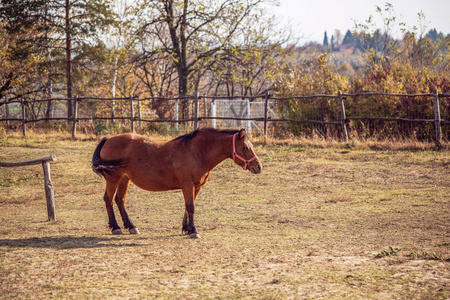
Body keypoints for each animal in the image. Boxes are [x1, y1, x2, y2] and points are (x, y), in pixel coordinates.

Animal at [91, 127, 262, 239]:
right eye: (245, 147)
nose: (258, 167)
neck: (196, 151)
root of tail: (108, 139)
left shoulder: (196, 186)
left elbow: (188, 206)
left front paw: (186, 228)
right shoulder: (187, 184)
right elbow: (191, 207)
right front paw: (194, 231)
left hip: (124, 179)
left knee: (120, 200)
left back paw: (131, 226)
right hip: (113, 178)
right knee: (108, 199)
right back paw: (115, 227)